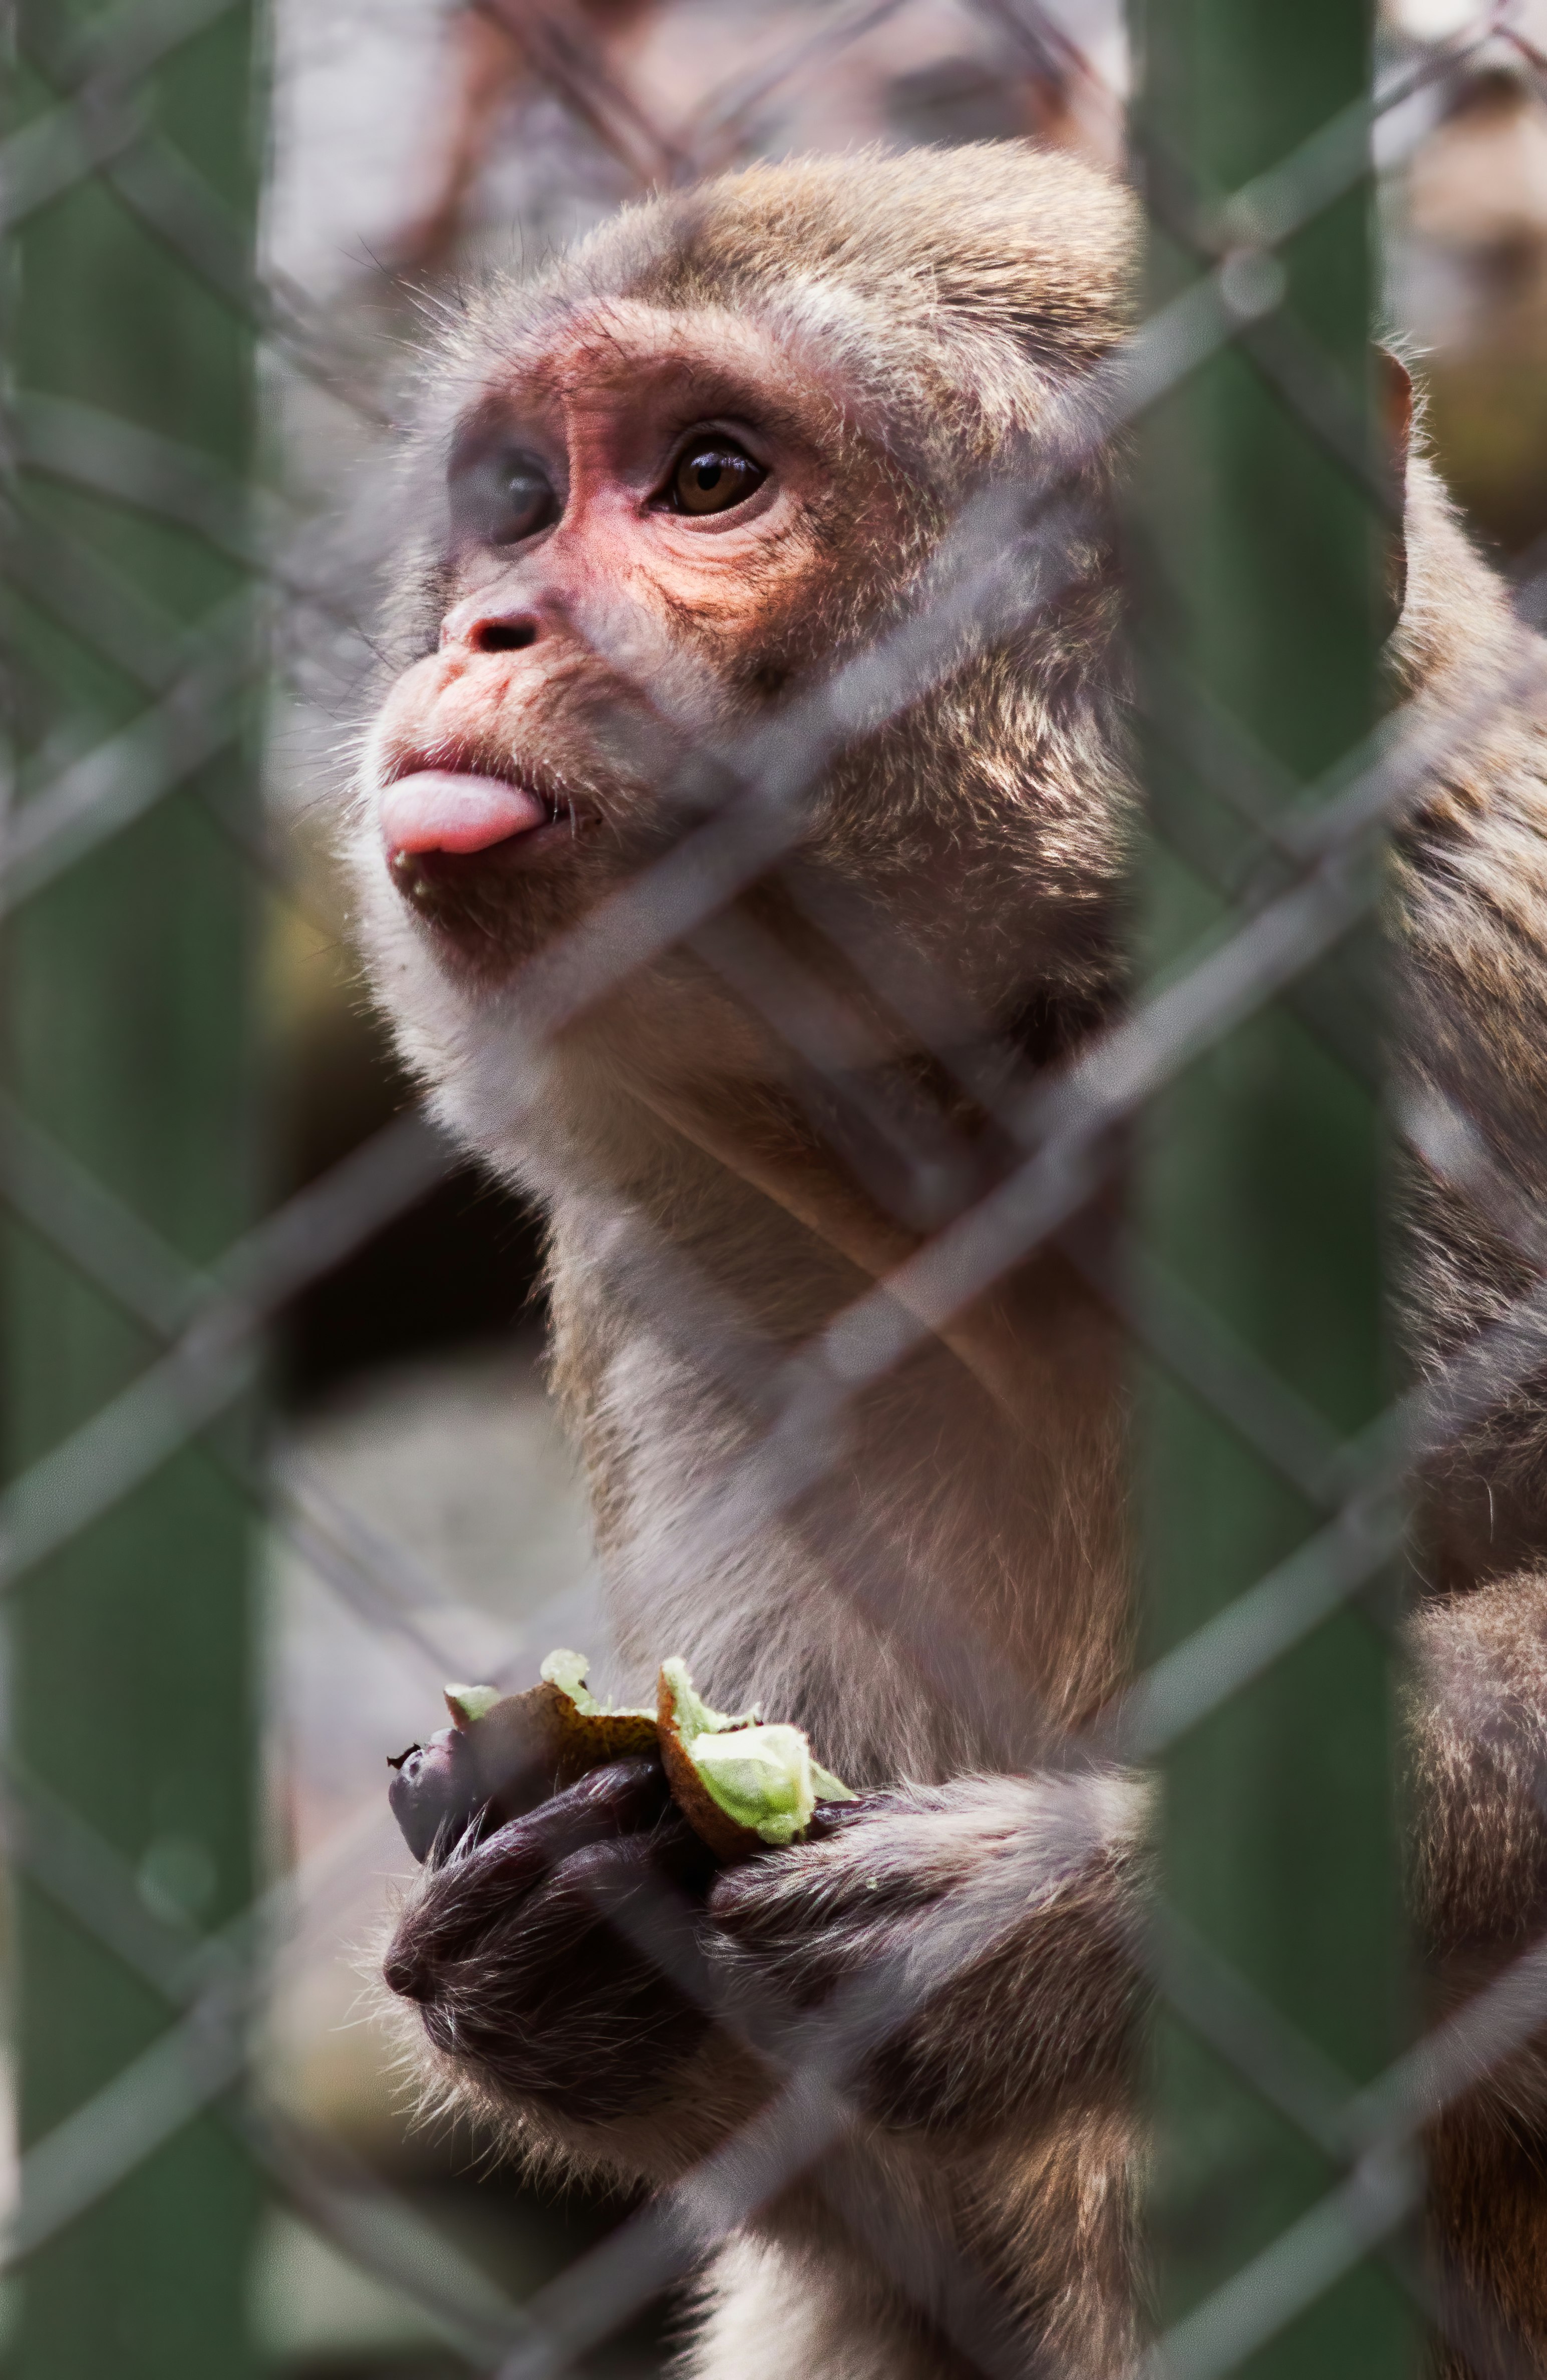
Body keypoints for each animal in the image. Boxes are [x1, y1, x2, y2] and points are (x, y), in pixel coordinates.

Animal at [350, 149, 1547, 2380]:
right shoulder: (659, 1298)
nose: (487, 623)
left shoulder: (1476, 1012)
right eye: (516, 500)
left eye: (707, 477)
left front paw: (1057, 1903)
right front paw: (568, 1961)